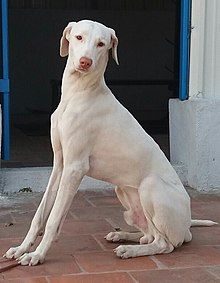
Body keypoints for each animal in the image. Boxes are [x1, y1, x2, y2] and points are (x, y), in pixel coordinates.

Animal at [3, 20, 217, 266]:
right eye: (78, 37)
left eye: (101, 44)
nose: (85, 62)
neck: (79, 92)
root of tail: (187, 227)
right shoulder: (60, 164)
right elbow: (40, 215)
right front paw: (21, 249)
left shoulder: (75, 168)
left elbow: (53, 219)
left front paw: (37, 255)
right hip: (123, 190)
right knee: (149, 235)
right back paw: (123, 236)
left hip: (150, 186)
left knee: (164, 244)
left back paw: (129, 250)